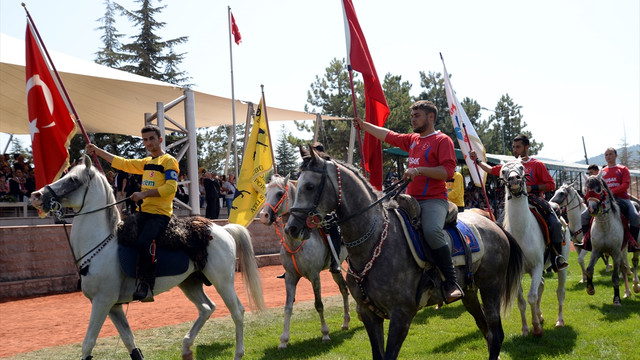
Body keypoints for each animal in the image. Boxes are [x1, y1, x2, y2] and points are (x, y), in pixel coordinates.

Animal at [29, 156, 264, 360]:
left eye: (73, 179)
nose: (36, 195)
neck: (102, 245)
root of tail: (222, 229)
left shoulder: (102, 301)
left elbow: (88, 343)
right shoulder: (114, 306)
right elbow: (129, 341)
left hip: (222, 281)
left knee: (237, 311)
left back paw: (238, 353)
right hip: (190, 283)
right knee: (207, 308)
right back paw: (186, 347)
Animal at [258, 174, 352, 348]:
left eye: (280, 193)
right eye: (266, 194)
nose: (263, 216)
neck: (296, 241)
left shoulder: (315, 276)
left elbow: (319, 304)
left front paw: (325, 334)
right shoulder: (290, 277)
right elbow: (288, 308)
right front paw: (283, 340)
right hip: (335, 270)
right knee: (344, 289)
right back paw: (346, 322)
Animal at [284, 146, 524, 360]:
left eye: (309, 186)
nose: (291, 228)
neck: (374, 242)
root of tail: (494, 225)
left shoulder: (401, 315)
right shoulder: (369, 314)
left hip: (491, 287)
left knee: (496, 334)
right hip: (471, 292)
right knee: (486, 329)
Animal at [500, 159, 568, 336]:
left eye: (521, 167)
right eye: (503, 171)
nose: (514, 179)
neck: (522, 232)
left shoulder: (537, 266)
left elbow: (531, 296)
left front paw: (536, 328)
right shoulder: (516, 272)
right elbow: (522, 301)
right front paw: (525, 328)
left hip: (561, 266)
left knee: (560, 292)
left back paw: (559, 321)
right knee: (541, 286)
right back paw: (540, 315)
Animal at [584, 174, 636, 304]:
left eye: (599, 189)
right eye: (586, 189)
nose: (592, 209)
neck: (605, 227)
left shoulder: (615, 253)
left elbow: (615, 277)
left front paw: (616, 299)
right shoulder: (596, 251)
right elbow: (589, 269)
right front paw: (590, 289)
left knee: (634, 263)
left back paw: (636, 286)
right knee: (624, 268)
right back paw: (627, 292)